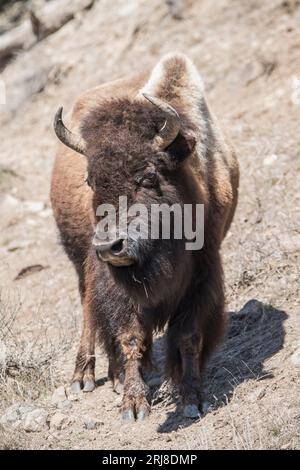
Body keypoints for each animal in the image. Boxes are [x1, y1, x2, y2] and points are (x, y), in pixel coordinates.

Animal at [51, 53, 239, 420]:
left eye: (149, 176)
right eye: (91, 181)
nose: (109, 246)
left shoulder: (204, 274)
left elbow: (188, 337)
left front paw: (192, 399)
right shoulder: (115, 285)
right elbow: (130, 336)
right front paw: (133, 404)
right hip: (80, 265)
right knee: (88, 313)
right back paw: (86, 377)